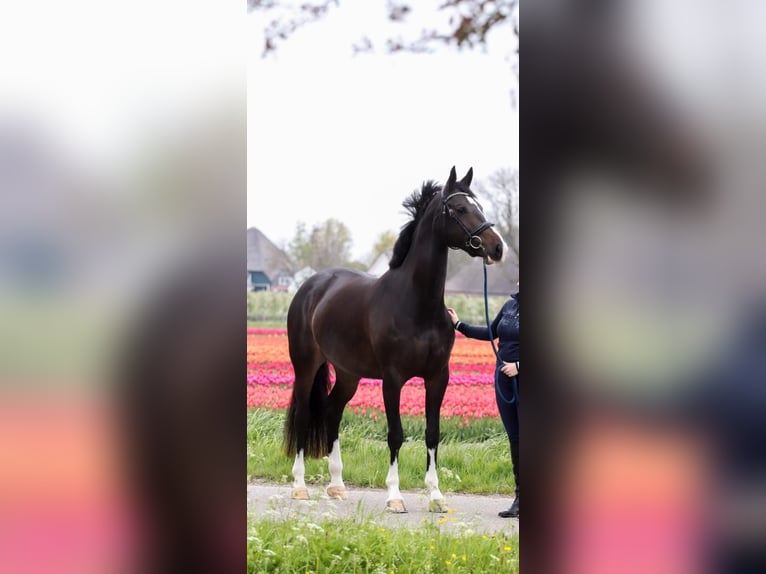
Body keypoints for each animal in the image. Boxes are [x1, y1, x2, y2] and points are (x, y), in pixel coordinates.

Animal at [284, 166, 508, 512]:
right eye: (460, 209)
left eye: (480, 206)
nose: (497, 248)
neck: (417, 304)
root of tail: (312, 286)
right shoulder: (392, 379)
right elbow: (396, 434)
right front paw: (394, 496)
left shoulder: (438, 377)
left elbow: (432, 433)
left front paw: (436, 496)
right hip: (306, 366)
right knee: (304, 414)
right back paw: (299, 487)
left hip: (348, 373)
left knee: (333, 411)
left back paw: (337, 485)